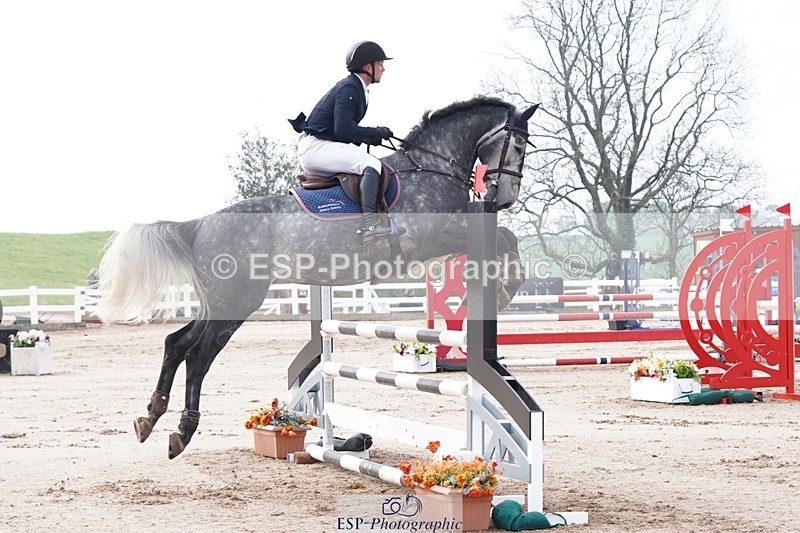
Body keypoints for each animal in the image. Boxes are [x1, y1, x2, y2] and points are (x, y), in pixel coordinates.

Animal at [97, 96, 538, 459]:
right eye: (517, 146)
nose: (504, 199)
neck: (432, 167)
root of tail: (199, 224)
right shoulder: (435, 236)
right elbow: (503, 235)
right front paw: (507, 287)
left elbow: (506, 236)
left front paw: (506, 283)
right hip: (238, 301)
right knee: (199, 355)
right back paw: (183, 431)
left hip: (218, 301)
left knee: (176, 343)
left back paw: (150, 417)